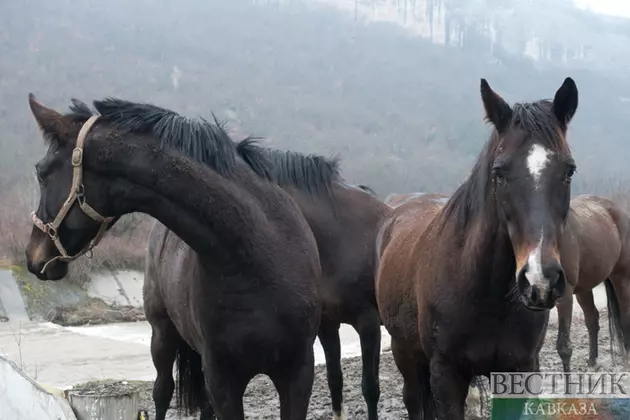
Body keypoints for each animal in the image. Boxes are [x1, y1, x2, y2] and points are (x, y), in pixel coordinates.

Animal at [23, 95, 326, 420]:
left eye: (41, 172)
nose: (32, 256)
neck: (256, 261)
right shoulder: (223, 379)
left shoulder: (298, 374)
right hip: (162, 335)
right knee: (162, 390)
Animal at [378, 77, 580, 418]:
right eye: (499, 173)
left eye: (569, 171)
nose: (540, 281)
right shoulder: (447, 375)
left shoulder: (519, 371)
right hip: (404, 353)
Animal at [556, 194, 630, 370]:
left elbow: (563, 345)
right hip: (584, 289)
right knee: (592, 319)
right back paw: (592, 360)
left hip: (621, 277)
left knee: (625, 316)